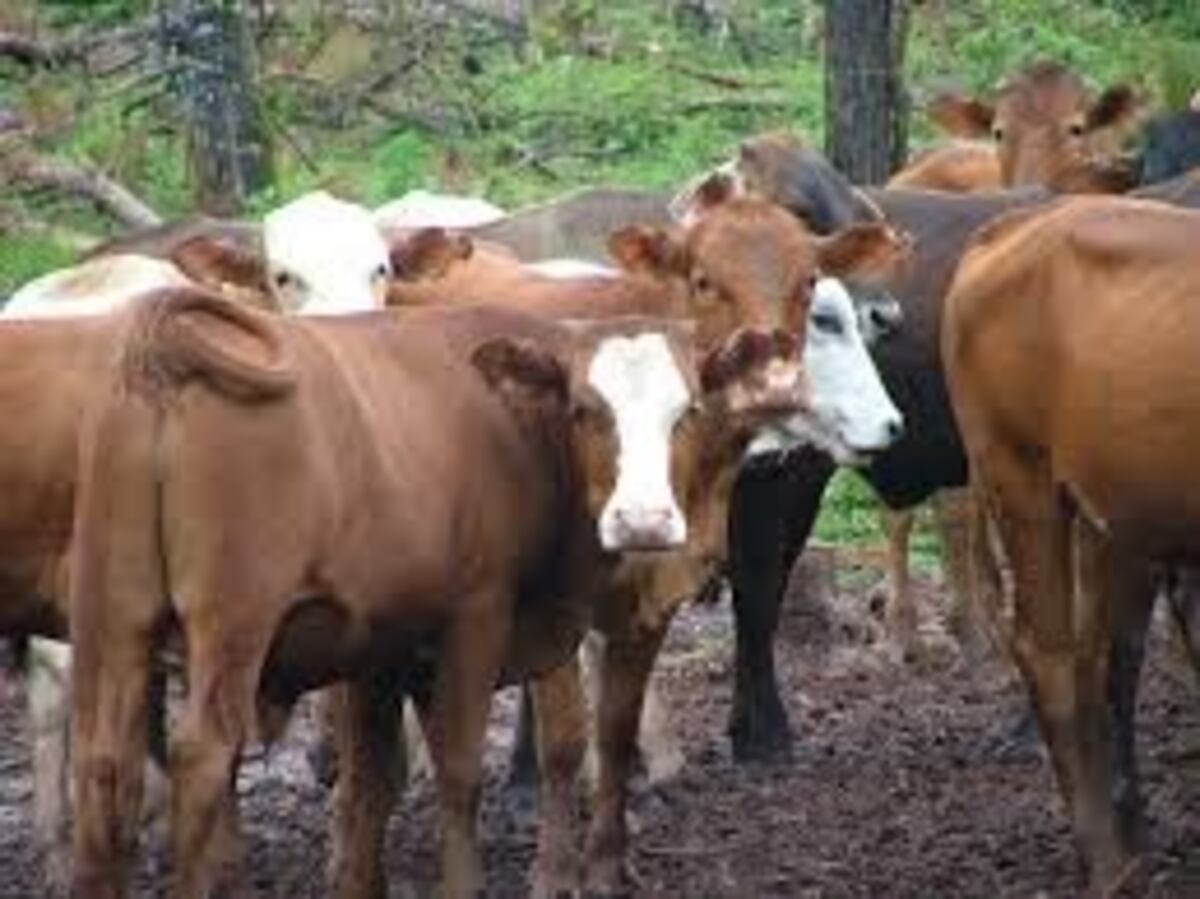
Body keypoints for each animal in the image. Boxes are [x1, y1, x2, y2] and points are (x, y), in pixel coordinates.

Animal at [64, 290, 806, 899]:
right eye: (583, 409)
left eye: (690, 411)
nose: (643, 521)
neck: (514, 422)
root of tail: (168, 354)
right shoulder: (477, 615)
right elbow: (457, 765)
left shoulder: (382, 647)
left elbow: (373, 780)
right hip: (231, 628)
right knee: (201, 760)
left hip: (114, 621)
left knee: (105, 768)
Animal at [943, 195, 1200, 895]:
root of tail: (1017, 225)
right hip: (1019, 473)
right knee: (1051, 654)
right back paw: (1107, 863)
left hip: (1112, 512)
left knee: (1100, 657)